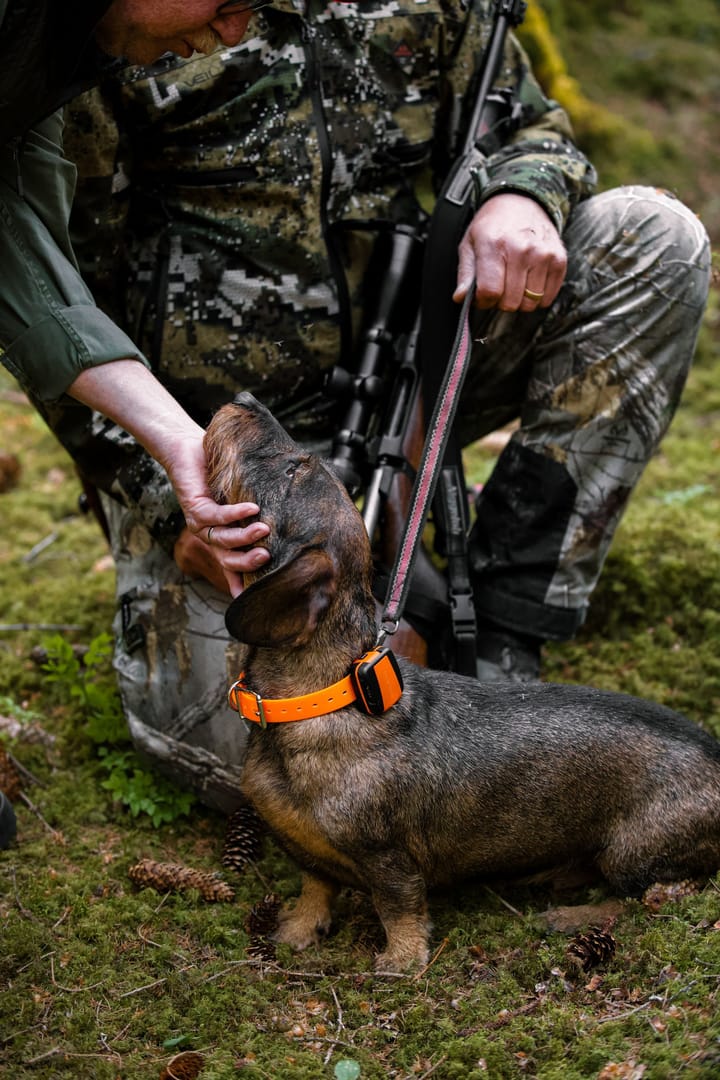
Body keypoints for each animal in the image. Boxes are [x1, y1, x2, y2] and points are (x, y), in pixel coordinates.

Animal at [202, 393, 720, 976]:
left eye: (294, 470)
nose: (243, 399)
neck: (321, 701)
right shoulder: (309, 851)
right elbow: (316, 887)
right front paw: (296, 931)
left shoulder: (390, 860)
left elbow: (398, 906)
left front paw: (401, 962)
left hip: (633, 854)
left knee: (654, 897)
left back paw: (572, 916)